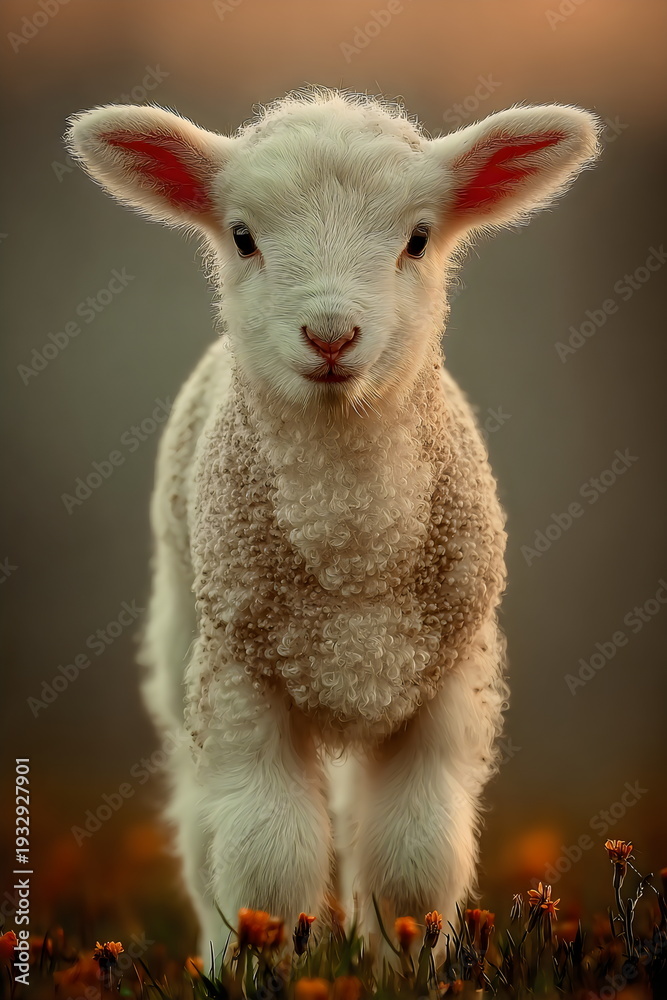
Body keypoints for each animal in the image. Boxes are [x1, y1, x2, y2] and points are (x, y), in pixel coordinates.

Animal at [66, 88, 599, 952]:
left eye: (417, 238)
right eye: (242, 236)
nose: (329, 335)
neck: (351, 549)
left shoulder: (445, 682)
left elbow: (414, 859)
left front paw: (403, 965)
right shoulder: (241, 676)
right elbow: (266, 858)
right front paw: (263, 961)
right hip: (184, 632)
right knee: (201, 828)